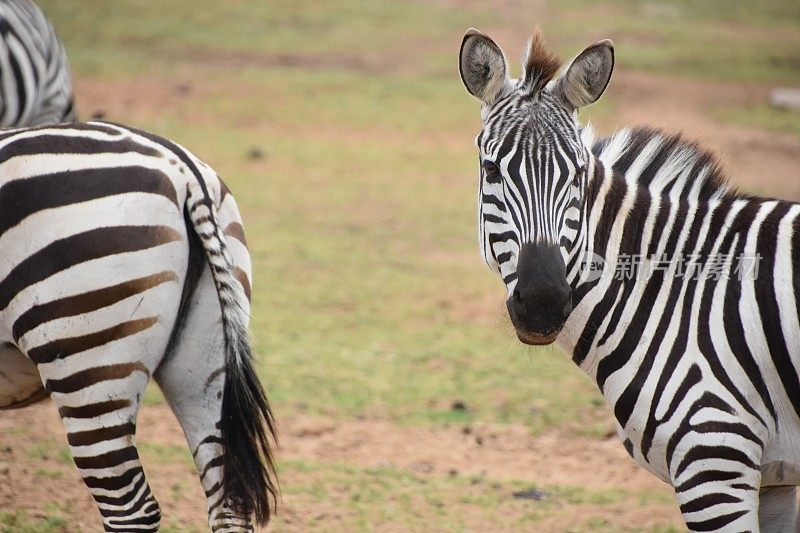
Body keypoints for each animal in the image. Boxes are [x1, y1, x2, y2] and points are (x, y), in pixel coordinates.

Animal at [460, 30, 800, 532]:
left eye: (578, 174)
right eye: (491, 171)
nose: (543, 302)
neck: (676, 292)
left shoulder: (714, 461)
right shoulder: (771, 481)